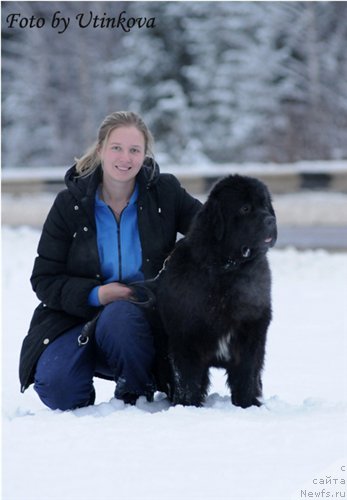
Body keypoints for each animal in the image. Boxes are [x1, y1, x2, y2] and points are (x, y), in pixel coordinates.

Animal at [135, 174, 278, 408]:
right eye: (245, 208)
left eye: (265, 205)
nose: (270, 221)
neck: (227, 270)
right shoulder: (185, 339)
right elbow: (187, 378)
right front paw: (187, 407)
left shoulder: (252, 333)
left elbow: (247, 374)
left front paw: (247, 404)